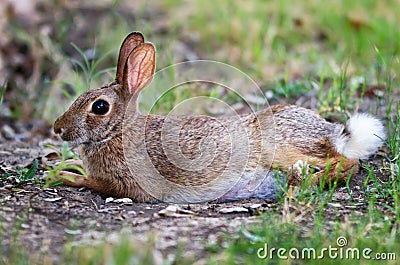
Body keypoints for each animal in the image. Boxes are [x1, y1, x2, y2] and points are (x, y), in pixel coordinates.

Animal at [51, 32, 386, 202]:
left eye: (99, 107)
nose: (57, 128)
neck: (118, 131)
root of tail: (333, 133)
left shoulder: (129, 184)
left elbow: (94, 183)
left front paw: (62, 175)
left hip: (280, 147)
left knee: (348, 163)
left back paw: (303, 183)